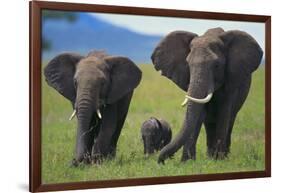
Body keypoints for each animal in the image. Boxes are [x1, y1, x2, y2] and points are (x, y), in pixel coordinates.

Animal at [151, 27, 262, 163]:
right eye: (188, 64)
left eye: (217, 65)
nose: (161, 161)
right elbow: (199, 114)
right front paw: (187, 162)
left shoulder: (230, 82)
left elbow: (224, 113)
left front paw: (218, 161)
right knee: (209, 123)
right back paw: (210, 156)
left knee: (230, 119)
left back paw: (221, 156)